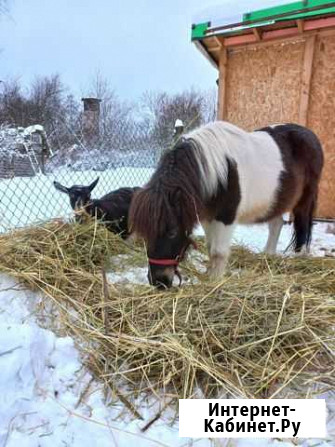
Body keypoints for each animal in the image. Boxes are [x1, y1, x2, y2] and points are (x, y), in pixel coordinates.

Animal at [130, 121, 324, 288]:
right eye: (144, 232)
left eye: (172, 232)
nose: (158, 281)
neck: (218, 172)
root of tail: (311, 136)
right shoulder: (207, 218)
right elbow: (210, 249)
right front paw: (209, 276)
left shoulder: (226, 218)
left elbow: (218, 252)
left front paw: (214, 282)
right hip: (275, 201)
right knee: (276, 225)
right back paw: (268, 256)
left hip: (305, 199)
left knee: (303, 225)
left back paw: (300, 256)